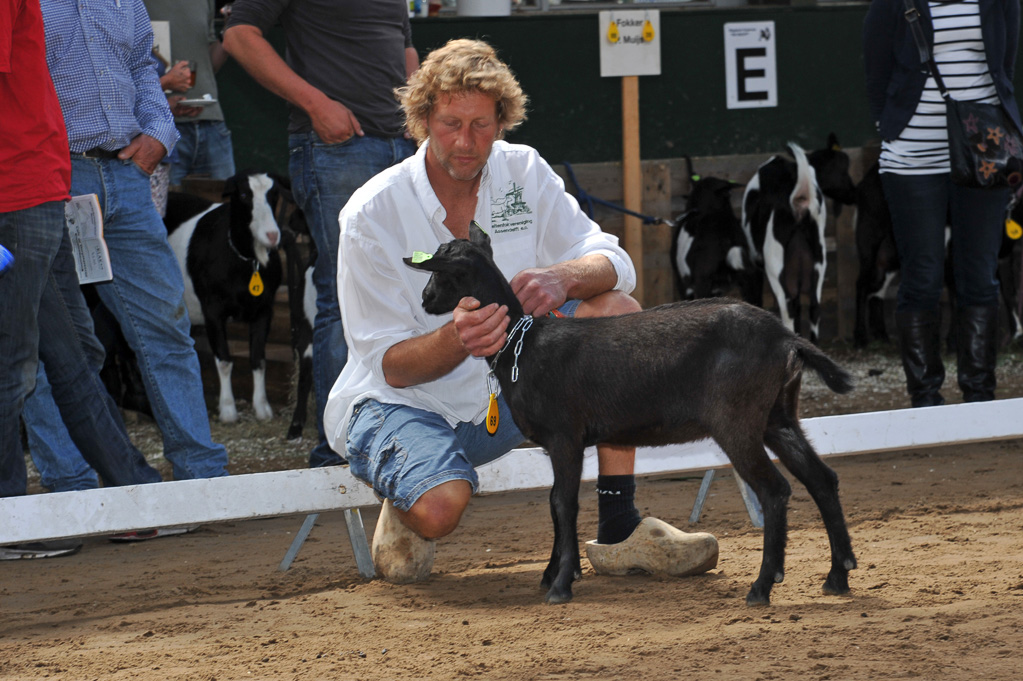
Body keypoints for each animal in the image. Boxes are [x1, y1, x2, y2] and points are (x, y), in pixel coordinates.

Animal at [165, 172, 284, 421]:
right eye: (244, 195)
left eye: (275, 194)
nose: (272, 235)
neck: (247, 261)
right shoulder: (213, 311)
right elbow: (224, 360)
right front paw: (228, 410)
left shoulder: (264, 309)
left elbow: (259, 359)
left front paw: (262, 408)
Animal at [403, 222, 859, 605]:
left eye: (438, 271)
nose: (424, 299)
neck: (522, 344)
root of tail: (786, 338)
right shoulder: (559, 444)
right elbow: (555, 503)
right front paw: (556, 572)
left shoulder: (565, 435)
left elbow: (563, 503)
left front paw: (561, 584)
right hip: (777, 415)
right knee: (823, 479)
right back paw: (838, 575)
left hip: (738, 419)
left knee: (775, 490)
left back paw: (763, 586)